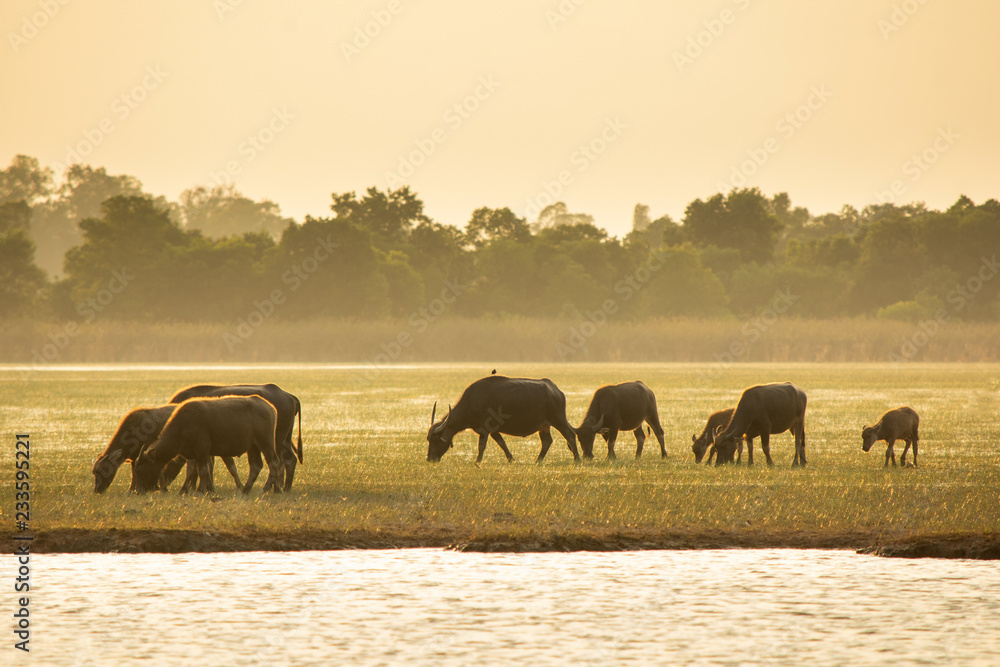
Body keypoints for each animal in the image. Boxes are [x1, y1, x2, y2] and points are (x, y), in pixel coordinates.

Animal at [134, 396, 282, 494]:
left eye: (139, 470)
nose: (137, 490)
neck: (183, 425)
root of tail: (270, 407)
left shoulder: (202, 449)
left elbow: (203, 470)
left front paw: (200, 490)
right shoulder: (192, 453)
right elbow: (193, 470)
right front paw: (188, 489)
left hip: (266, 443)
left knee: (274, 462)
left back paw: (267, 488)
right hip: (253, 447)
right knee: (256, 466)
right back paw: (246, 489)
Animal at [169, 383, 302, 490]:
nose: (164, 483)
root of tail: (288, 396)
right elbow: (207, 465)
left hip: (275, 440)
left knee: (279, 462)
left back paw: (275, 487)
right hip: (286, 439)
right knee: (290, 459)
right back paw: (286, 487)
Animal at [427, 375, 580, 463]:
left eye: (435, 439)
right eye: (428, 439)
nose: (429, 459)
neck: (472, 401)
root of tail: (556, 391)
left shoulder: (485, 429)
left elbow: (481, 446)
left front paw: (477, 461)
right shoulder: (494, 430)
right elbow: (502, 443)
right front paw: (511, 459)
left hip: (558, 419)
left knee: (570, 435)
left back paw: (577, 459)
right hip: (543, 426)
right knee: (547, 441)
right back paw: (538, 460)